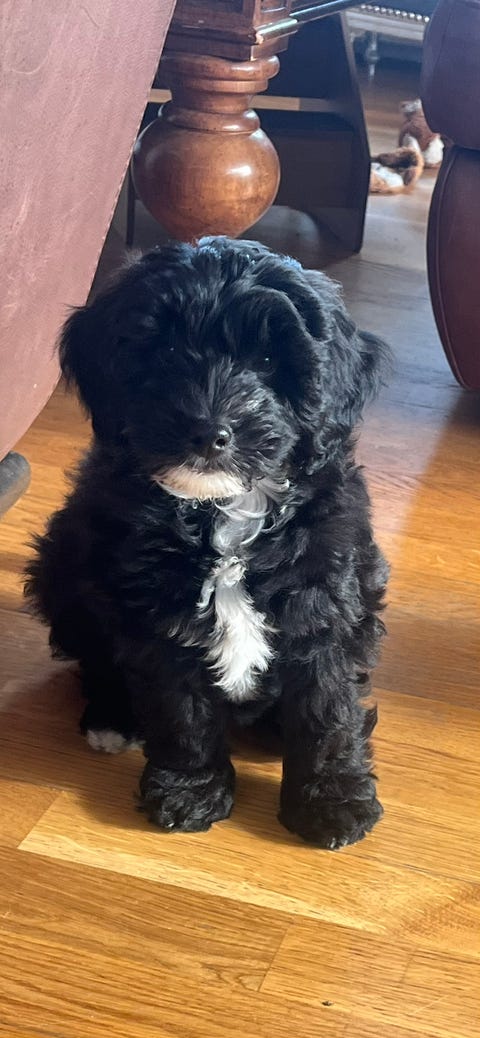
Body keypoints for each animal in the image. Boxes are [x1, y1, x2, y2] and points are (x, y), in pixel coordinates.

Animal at [26, 237, 388, 848]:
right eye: (166, 349)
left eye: (267, 362)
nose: (208, 433)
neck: (222, 513)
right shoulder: (158, 618)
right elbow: (182, 710)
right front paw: (190, 791)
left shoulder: (324, 602)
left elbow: (328, 706)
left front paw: (332, 803)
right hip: (64, 568)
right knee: (95, 659)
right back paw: (111, 718)